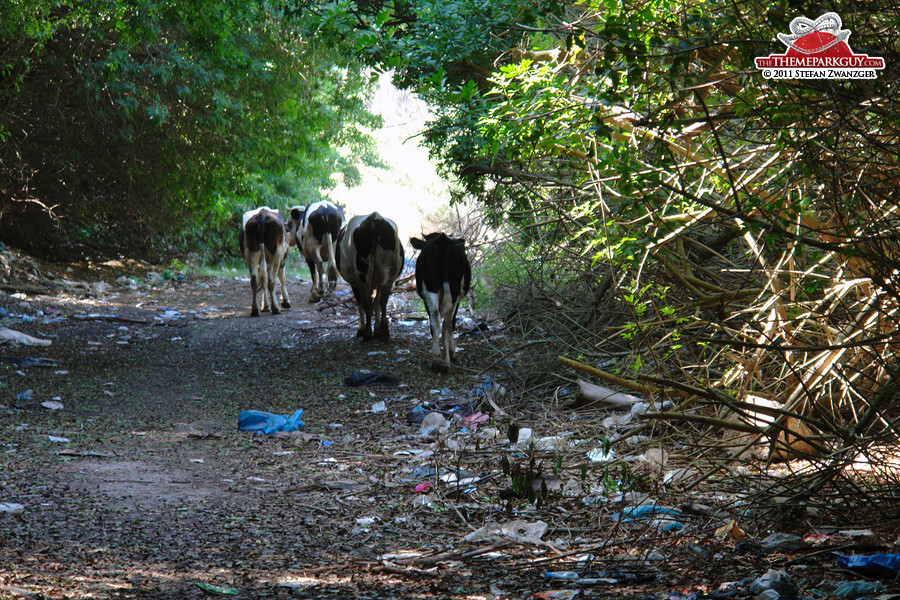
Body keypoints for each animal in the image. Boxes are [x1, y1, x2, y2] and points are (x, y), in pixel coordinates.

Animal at [412, 232, 474, 368]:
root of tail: (442, 239)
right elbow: (452, 321)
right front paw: (452, 351)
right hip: (453, 289)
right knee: (446, 322)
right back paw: (446, 358)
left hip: (432, 286)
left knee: (436, 318)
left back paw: (437, 354)